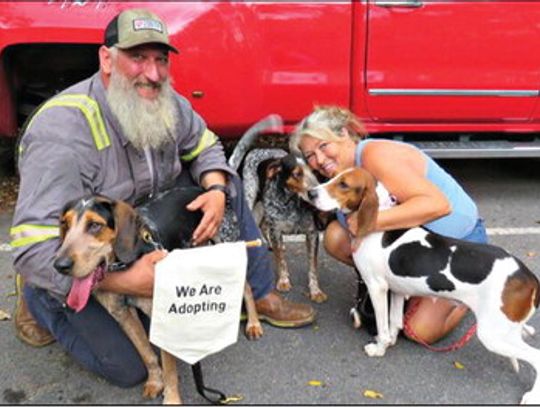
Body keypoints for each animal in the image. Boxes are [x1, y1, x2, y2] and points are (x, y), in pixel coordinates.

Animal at [227, 122, 326, 302]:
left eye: (314, 171)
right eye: (297, 174)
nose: (316, 193)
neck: (293, 203)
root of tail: (259, 148)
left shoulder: (312, 234)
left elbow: (312, 267)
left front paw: (315, 290)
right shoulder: (277, 230)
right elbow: (281, 261)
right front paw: (283, 281)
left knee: (264, 225)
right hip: (251, 198)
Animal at [306, 167, 540, 406]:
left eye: (344, 184)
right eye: (333, 177)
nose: (310, 193)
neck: (378, 219)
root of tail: (528, 276)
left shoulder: (376, 287)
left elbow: (382, 325)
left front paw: (379, 349)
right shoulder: (397, 291)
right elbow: (395, 322)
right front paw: (389, 342)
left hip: (492, 334)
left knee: (536, 356)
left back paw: (532, 396)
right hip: (505, 329)